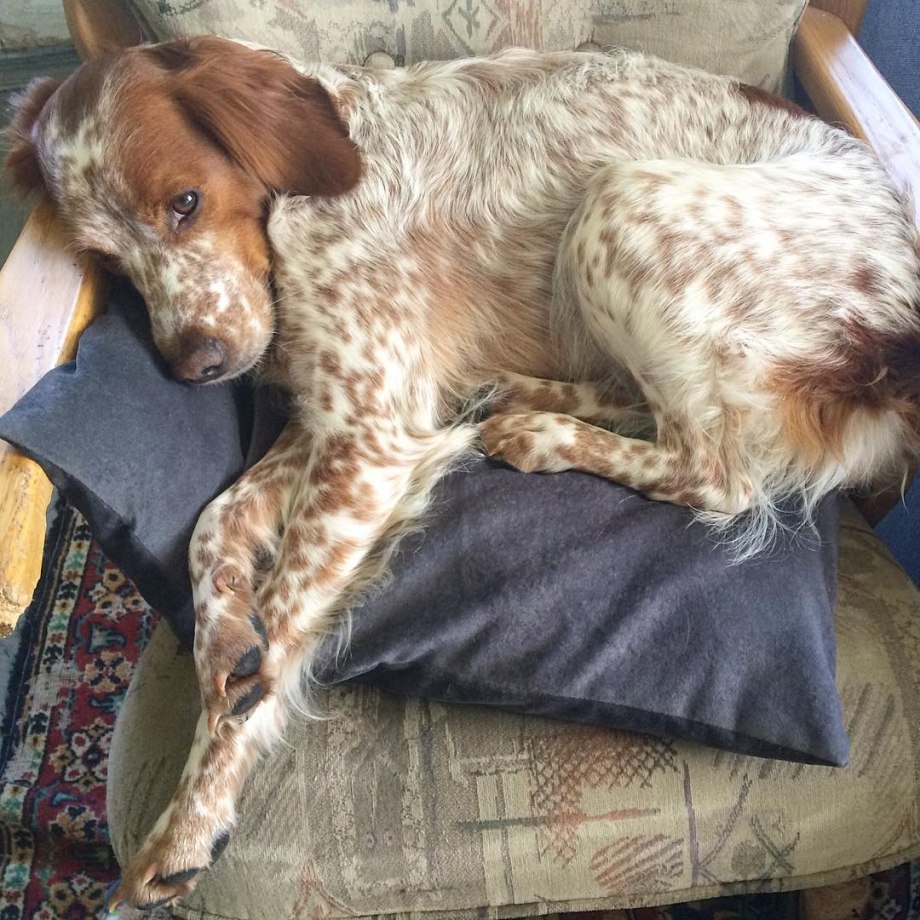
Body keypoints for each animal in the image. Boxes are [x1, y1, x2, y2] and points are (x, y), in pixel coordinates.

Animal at [7, 36, 920, 907]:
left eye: (186, 202)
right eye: (104, 257)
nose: (193, 366)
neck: (305, 197)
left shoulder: (369, 435)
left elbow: (274, 643)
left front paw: (190, 822)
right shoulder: (344, 416)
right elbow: (216, 523)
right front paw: (223, 634)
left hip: (623, 199)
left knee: (719, 474)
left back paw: (542, 433)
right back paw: (520, 395)